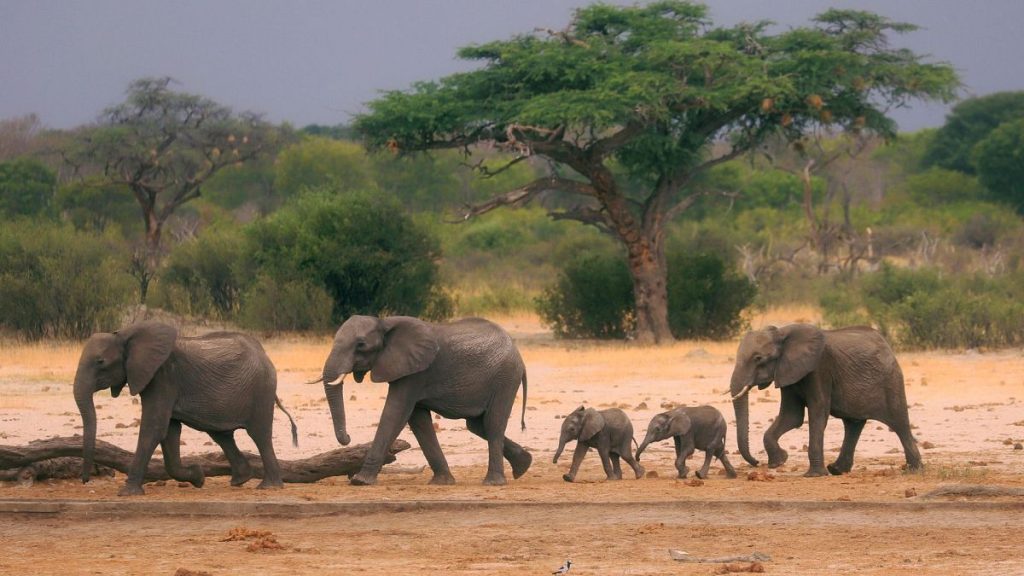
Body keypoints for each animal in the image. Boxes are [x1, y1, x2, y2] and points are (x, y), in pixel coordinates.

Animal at [74, 321, 297, 496]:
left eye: (100, 362)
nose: (86, 480)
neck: (125, 335)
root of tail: (264, 353)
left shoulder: (162, 376)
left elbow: (154, 429)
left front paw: (127, 493)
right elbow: (169, 432)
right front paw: (198, 477)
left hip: (261, 390)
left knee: (259, 434)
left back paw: (269, 487)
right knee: (221, 434)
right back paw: (240, 480)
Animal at [318, 315, 532, 486]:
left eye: (361, 344)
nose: (347, 438)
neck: (385, 323)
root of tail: (519, 356)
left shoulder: (415, 374)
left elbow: (395, 413)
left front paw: (360, 481)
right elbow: (418, 420)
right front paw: (442, 482)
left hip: (505, 379)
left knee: (493, 424)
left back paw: (493, 483)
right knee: (477, 425)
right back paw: (524, 465)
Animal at [729, 324, 922, 477]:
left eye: (758, 359)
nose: (756, 462)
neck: (783, 332)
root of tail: (886, 344)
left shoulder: (819, 368)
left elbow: (817, 412)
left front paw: (814, 475)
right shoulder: (788, 372)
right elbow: (791, 416)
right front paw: (779, 461)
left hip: (890, 380)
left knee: (899, 422)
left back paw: (914, 469)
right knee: (853, 424)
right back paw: (836, 470)